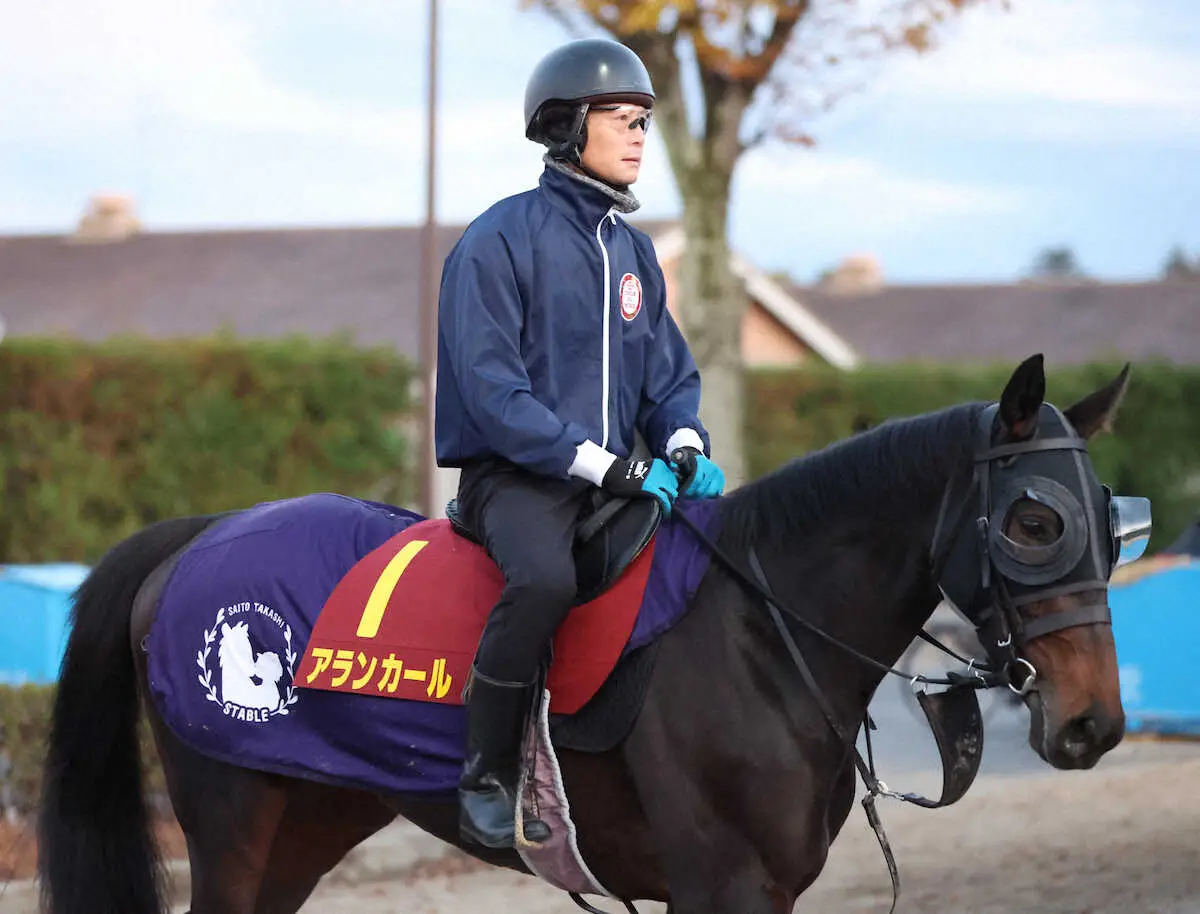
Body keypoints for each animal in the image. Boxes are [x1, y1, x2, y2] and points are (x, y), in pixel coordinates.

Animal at [37, 354, 1146, 914]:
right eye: (1035, 520)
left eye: (1115, 516)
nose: (1092, 723)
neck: (759, 632)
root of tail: (196, 535)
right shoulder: (719, 887)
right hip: (233, 831)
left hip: (306, 827)